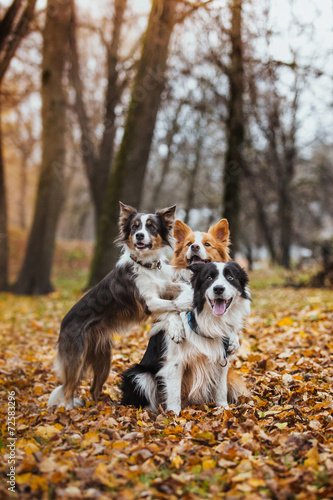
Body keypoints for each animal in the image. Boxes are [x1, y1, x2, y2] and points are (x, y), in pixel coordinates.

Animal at [47, 203, 191, 410]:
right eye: (134, 227)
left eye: (151, 227)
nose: (139, 236)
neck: (147, 265)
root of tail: (63, 324)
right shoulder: (148, 302)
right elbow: (172, 307)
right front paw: (179, 324)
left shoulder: (164, 289)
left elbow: (177, 293)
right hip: (76, 358)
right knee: (68, 390)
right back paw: (69, 410)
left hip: (104, 359)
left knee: (93, 389)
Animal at [120, 262, 249, 414]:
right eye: (209, 278)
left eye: (230, 277)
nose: (218, 289)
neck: (208, 320)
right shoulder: (175, 361)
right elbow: (174, 392)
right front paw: (174, 414)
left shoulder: (222, 359)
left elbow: (221, 389)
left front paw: (223, 409)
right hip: (138, 375)